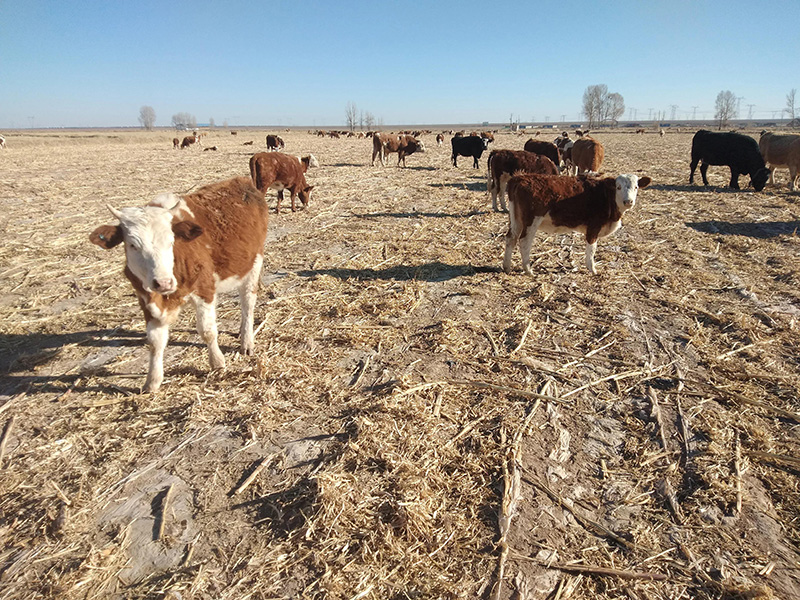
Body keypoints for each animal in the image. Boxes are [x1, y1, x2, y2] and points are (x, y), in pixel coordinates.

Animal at [88, 177, 268, 394]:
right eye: (132, 245)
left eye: (171, 241)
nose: (163, 282)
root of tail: (240, 181)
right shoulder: (147, 300)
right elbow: (155, 342)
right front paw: (152, 381)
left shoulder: (205, 290)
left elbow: (207, 331)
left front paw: (217, 363)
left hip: (253, 263)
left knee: (247, 303)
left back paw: (246, 341)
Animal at [506, 172, 648, 276]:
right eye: (618, 187)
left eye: (636, 187)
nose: (628, 201)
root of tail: (519, 178)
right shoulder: (593, 227)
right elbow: (592, 249)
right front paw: (592, 269)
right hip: (532, 221)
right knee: (524, 241)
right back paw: (528, 270)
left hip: (515, 219)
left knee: (511, 237)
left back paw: (506, 267)